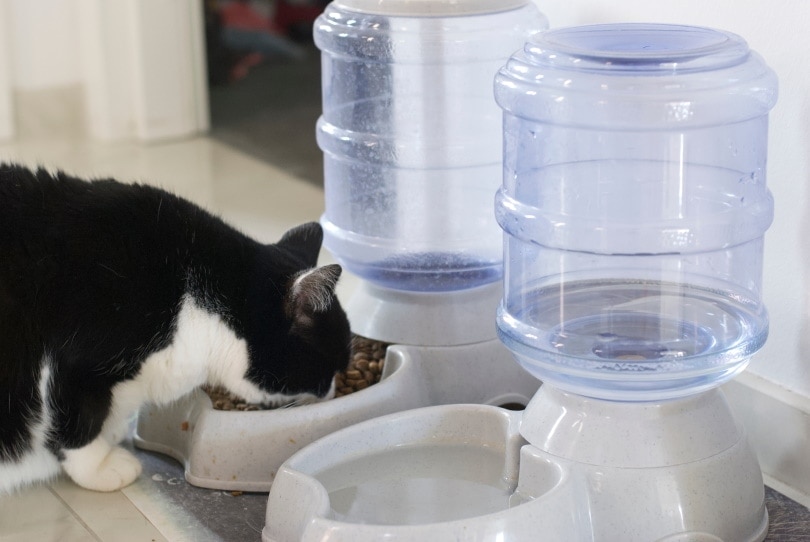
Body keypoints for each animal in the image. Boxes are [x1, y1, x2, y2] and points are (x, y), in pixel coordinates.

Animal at [1, 166, 352, 498]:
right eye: (330, 368)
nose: (333, 392)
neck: (192, 297)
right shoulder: (80, 359)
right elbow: (79, 420)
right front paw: (99, 467)